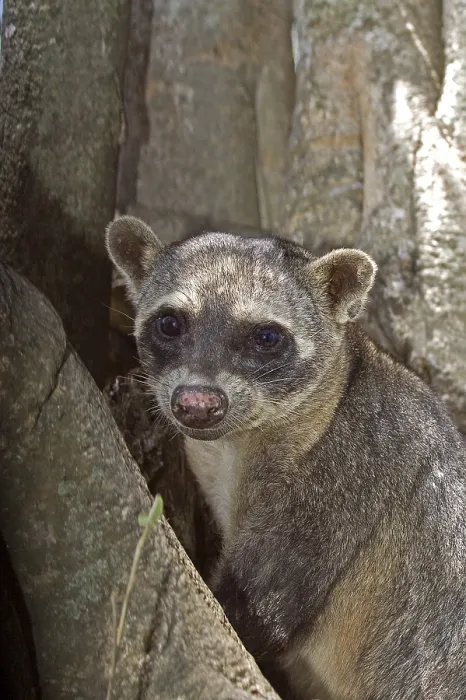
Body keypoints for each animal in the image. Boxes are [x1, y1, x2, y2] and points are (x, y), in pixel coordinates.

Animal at [106, 215, 466, 700]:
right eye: (169, 323)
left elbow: (255, 610)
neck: (235, 451)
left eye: (266, 336)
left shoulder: (341, 483)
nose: (198, 403)